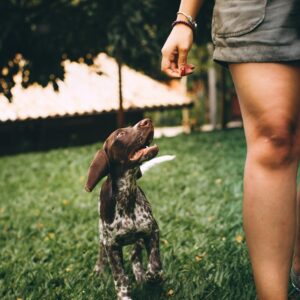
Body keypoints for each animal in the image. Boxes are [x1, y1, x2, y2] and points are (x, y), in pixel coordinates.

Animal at [84, 118, 164, 300]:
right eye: (120, 134)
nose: (146, 121)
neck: (127, 195)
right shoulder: (111, 246)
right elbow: (120, 278)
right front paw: (124, 295)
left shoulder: (152, 231)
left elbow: (155, 264)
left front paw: (151, 277)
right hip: (102, 235)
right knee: (102, 253)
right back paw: (99, 270)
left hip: (138, 239)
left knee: (135, 255)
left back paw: (140, 274)